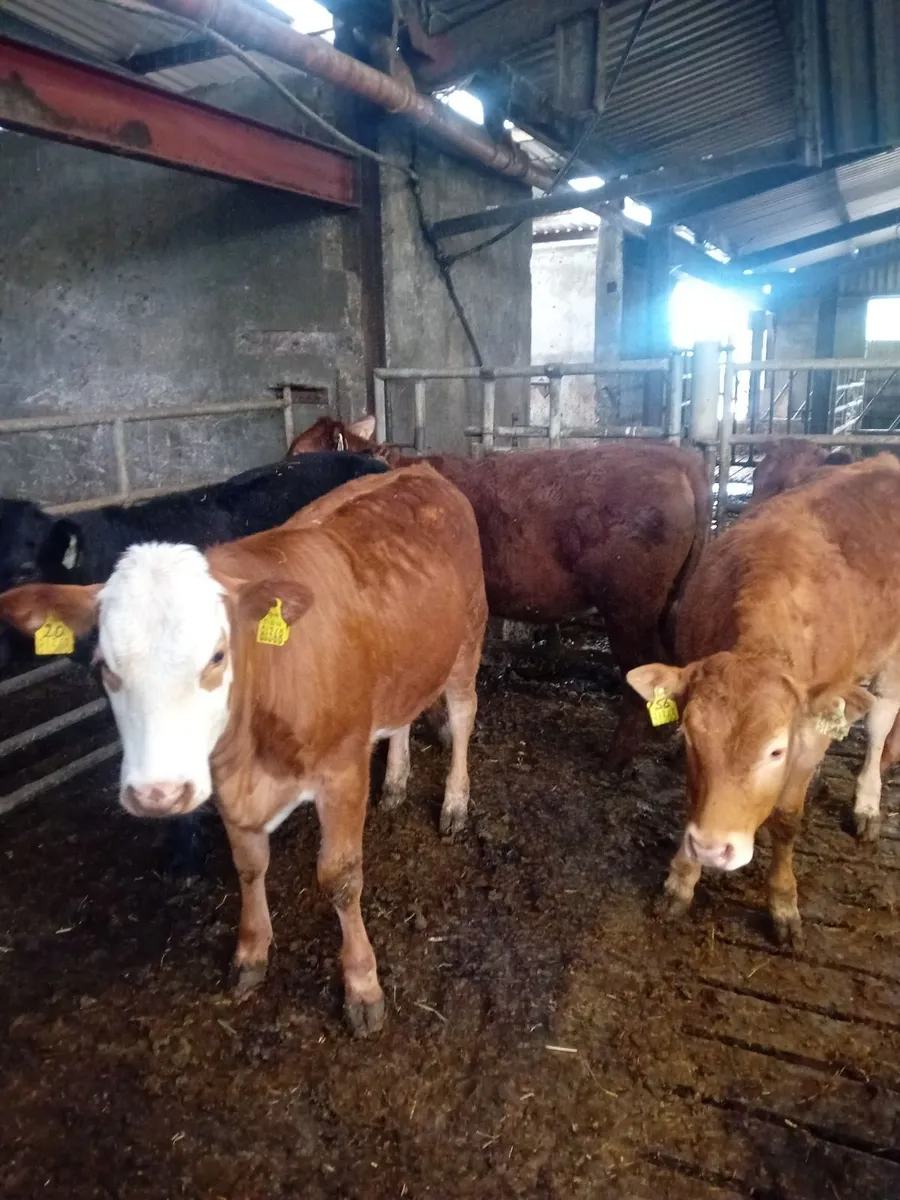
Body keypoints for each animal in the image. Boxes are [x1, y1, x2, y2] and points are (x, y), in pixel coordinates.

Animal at [287, 418, 709, 769]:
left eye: (296, 456)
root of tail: (678, 458)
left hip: (628, 609)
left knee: (642, 673)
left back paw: (615, 760)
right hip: (663, 607)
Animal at [626, 456, 900, 946]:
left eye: (775, 751)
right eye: (689, 737)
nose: (713, 849)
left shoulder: (811, 732)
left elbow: (788, 818)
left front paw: (783, 902)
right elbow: (692, 799)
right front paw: (682, 878)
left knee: (881, 719)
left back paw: (867, 802)